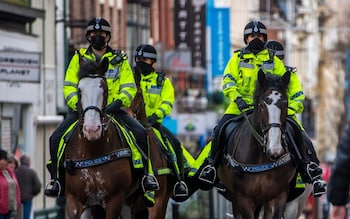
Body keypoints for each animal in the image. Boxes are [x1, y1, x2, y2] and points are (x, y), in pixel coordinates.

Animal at [63, 57, 133, 218]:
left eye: (105, 89)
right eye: (79, 90)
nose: (92, 129)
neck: (92, 150)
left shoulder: (115, 200)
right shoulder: (74, 201)